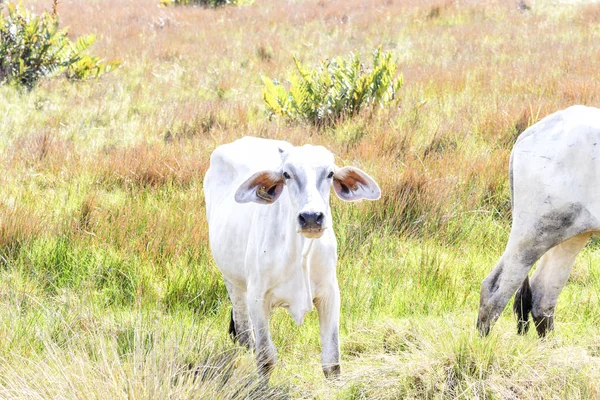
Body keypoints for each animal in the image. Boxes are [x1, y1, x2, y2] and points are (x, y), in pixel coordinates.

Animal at [202, 136, 380, 376]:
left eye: (330, 173)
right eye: (287, 174)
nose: (311, 217)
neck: (299, 253)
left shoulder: (330, 294)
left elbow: (332, 362)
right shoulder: (257, 298)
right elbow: (265, 358)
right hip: (234, 284)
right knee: (245, 334)